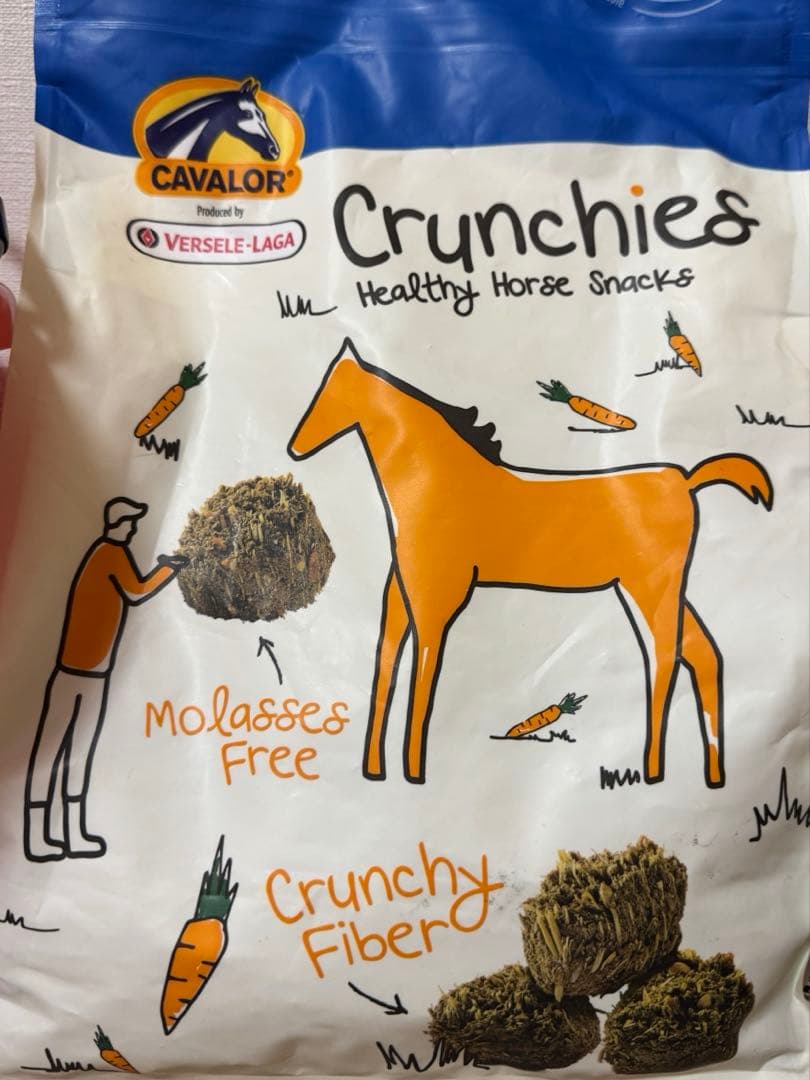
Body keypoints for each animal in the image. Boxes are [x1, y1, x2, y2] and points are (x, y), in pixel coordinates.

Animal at [288, 339, 773, 789]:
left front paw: (413, 771)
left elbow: (422, 678)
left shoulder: (436, 601)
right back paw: (704, 773)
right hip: (654, 589)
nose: (294, 448)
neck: (438, 483)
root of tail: (686, 480)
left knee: (665, 657)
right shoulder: (401, 596)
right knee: (703, 654)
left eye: (333, 391)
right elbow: (385, 667)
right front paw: (375, 769)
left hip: (652, 588)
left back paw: (654, 770)